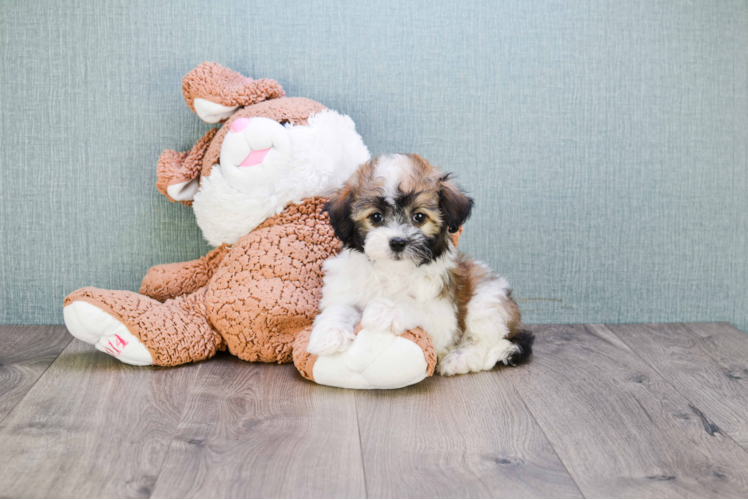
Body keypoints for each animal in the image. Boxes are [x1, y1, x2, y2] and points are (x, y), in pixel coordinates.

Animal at [306, 152, 536, 376]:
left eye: (419, 217)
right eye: (376, 216)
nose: (398, 242)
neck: (392, 271)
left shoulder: (443, 316)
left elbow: (414, 304)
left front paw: (384, 309)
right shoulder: (347, 288)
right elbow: (340, 307)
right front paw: (328, 334)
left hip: (488, 300)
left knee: (488, 341)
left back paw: (459, 360)